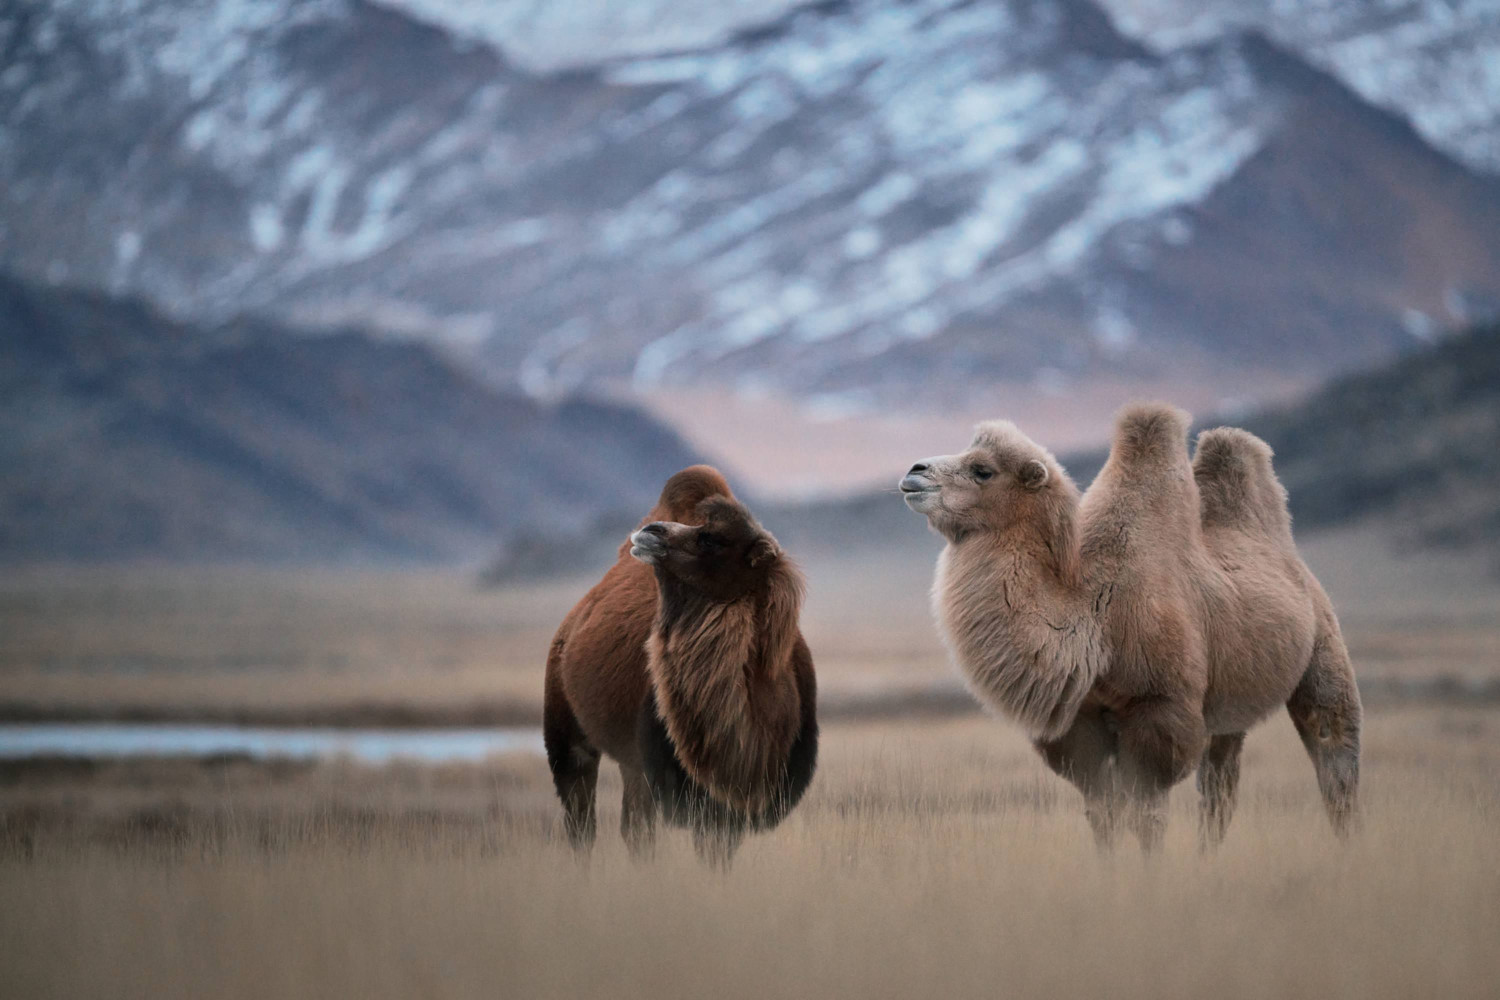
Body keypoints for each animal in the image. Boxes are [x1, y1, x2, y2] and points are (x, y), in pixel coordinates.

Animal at [544, 465, 817, 862]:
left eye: (711, 539)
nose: (650, 531)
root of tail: (568, 628)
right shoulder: (676, 782)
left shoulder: (732, 803)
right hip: (568, 735)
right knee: (585, 825)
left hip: (629, 762)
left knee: (631, 828)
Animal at [899, 404, 1361, 850]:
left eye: (983, 470)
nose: (914, 472)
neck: (1096, 618)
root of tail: (1298, 569)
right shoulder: (1080, 721)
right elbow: (1103, 814)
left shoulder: (1160, 707)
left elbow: (1146, 816)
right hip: (1228, 706)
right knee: (1219, 788)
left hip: (1324, 646)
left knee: (1333, 752)